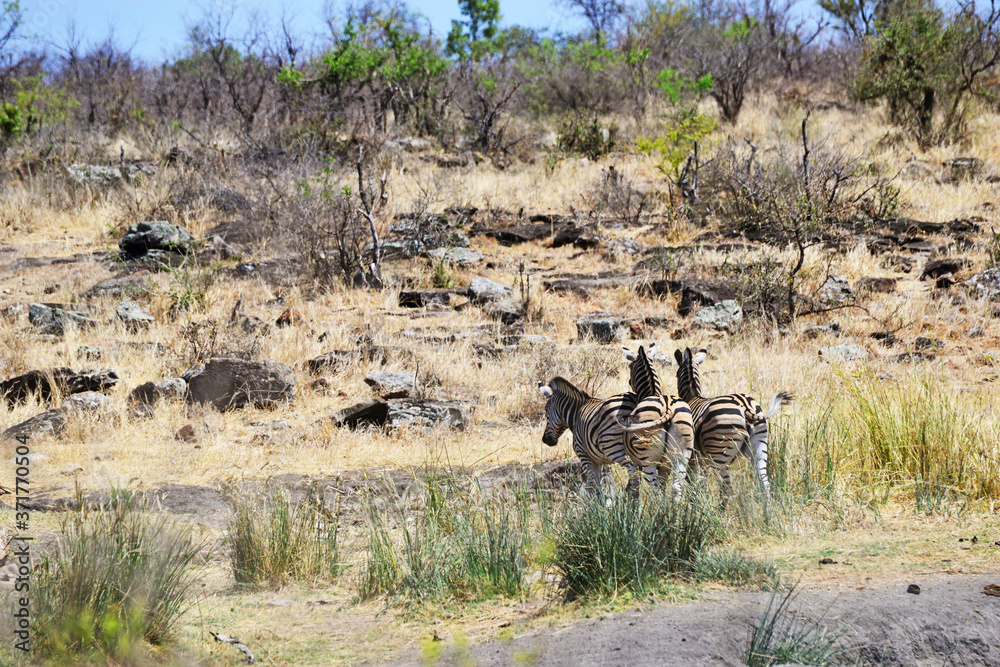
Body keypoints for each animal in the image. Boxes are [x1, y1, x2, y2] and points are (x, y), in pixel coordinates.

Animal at [620, 343, 695, 497]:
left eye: (630, 366)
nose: (629, 382)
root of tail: (668, 407)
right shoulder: (664, 465)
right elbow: (662, 485)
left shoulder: (633, 462)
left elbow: (635, 485)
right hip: (682, 455)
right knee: (676, 488)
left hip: (649, 459)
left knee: (654, 492)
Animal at [673, 346, 793, 497]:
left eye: (676, 374)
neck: (693, 396)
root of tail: (745, 407)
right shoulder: (703, 460)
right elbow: (701, 483)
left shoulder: (693, 458)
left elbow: (691, 482)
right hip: (760, 448)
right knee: (764, 485)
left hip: (720, 454)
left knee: (727, 490)